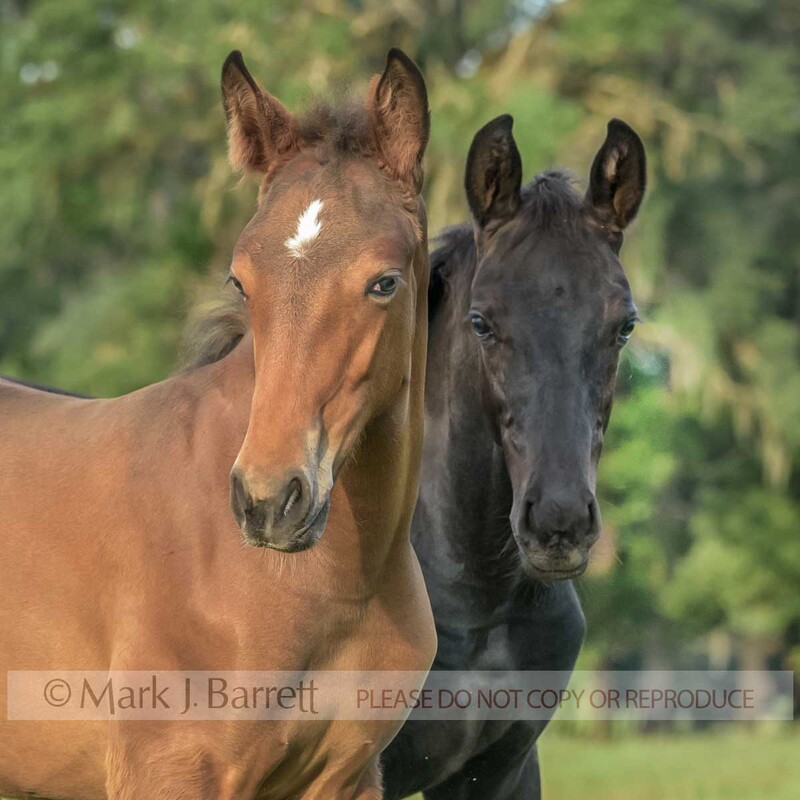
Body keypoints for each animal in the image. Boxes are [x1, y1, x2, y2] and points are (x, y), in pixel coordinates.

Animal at [0, 48, 435, 800]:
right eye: (240, 280)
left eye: (385, 282)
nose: (268, 501)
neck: (339, 586)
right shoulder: (170, 768)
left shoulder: (349, 778)